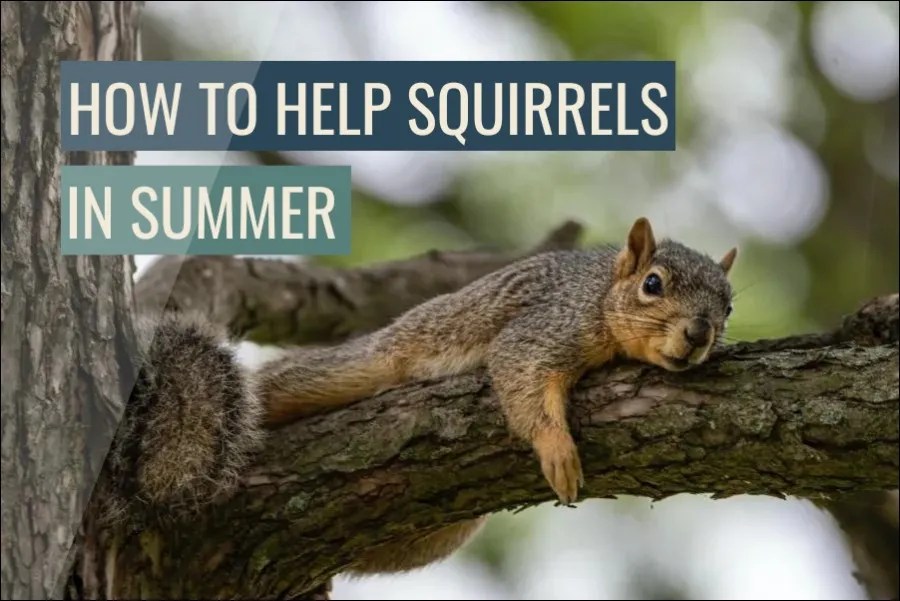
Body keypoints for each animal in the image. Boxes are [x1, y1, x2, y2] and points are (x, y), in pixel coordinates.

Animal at [99, 217, 736, 579]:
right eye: (652, 284)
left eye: (728, 306)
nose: (699, 334)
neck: (603, 293)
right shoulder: (546, 326)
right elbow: (522, 371)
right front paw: (556, 449)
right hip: (365, 362)